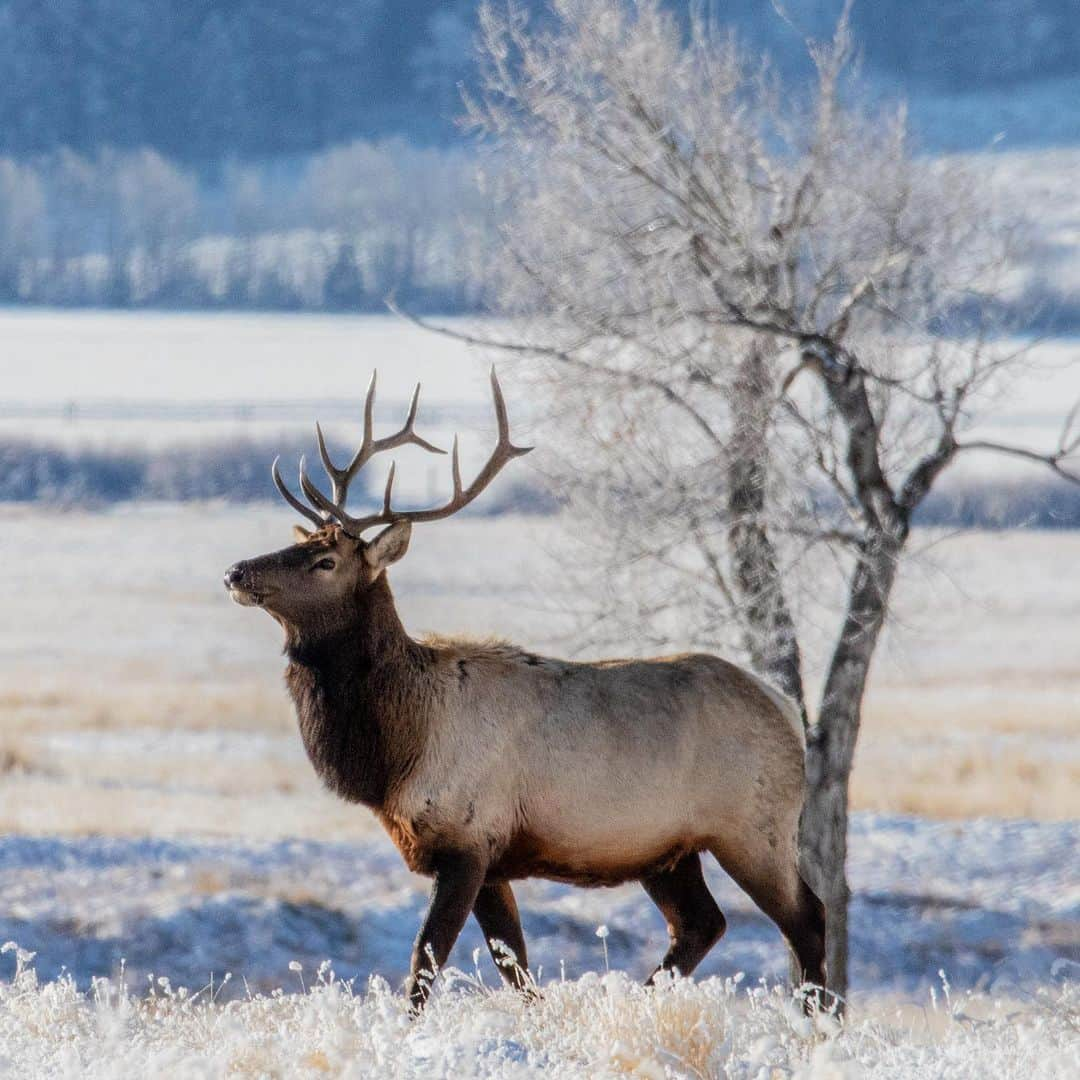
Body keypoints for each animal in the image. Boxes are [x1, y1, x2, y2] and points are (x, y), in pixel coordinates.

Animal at [221, 373, 825, 1010]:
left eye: (324, 559)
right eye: (300, 542)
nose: (236, 572)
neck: (395, 752)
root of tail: (788, 709)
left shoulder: (467, 840)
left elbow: (426, 961)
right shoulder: (491, 860)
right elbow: (515, 968)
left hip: (754, 826)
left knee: (806, 919)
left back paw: (818, 1021)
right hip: (669, 849)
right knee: (701, 924)